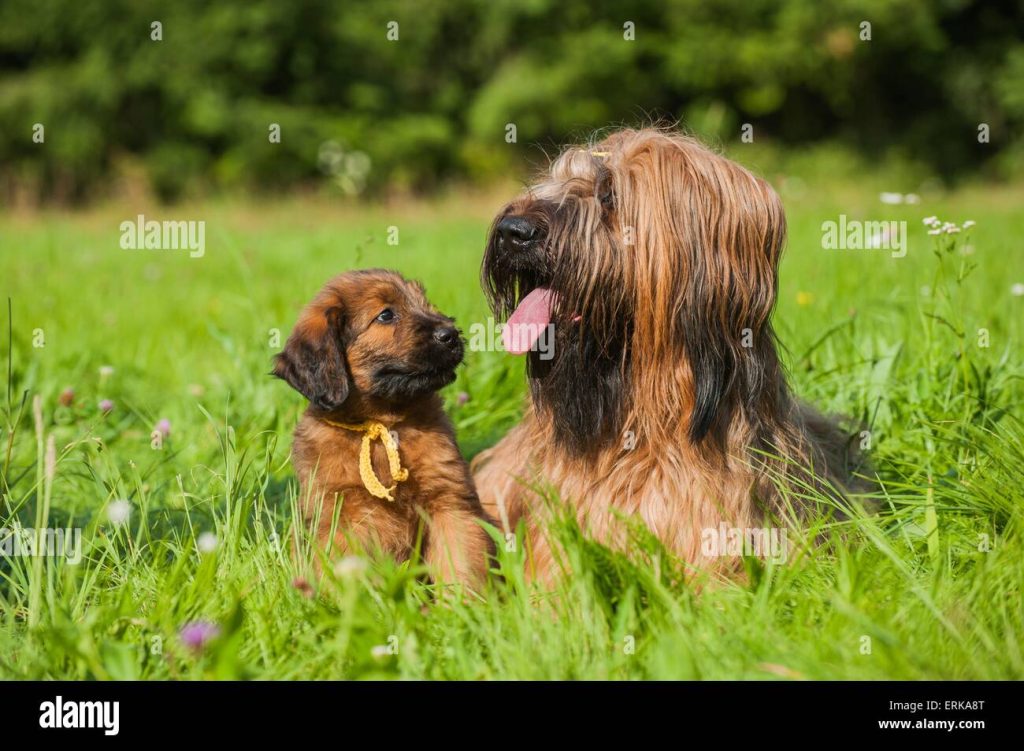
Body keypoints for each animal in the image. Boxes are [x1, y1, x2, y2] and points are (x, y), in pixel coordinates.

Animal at [274, 266, 493, 590]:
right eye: (386, 315)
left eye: (423, 301)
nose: (451, 335)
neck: (382, 424)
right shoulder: (342, 516)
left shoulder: (450, 503)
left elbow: (461, 562)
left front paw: (465, 602)